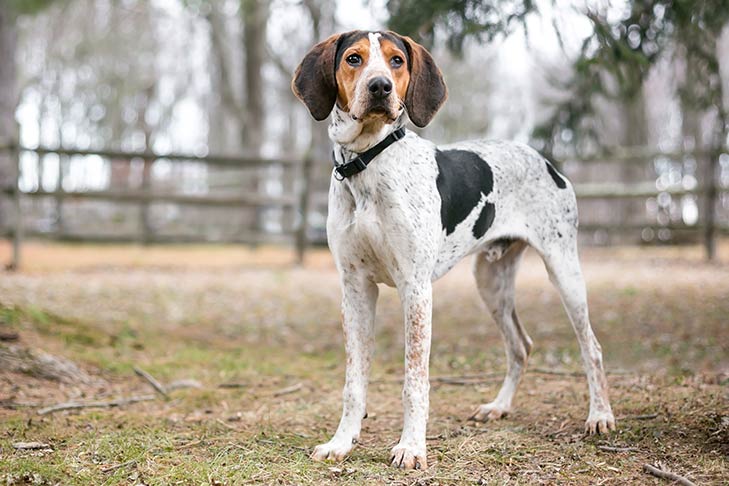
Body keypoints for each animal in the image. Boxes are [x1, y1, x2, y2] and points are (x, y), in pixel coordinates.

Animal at [290, 28, 616, 468]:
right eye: (354, 59)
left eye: (396, 61)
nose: (380, 87)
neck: (368, 163)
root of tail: (545, 160)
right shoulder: (355, 288)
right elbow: (353, 381)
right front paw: (341, 442)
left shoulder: (415, 288)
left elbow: (414, 381)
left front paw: (411, 448)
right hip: (491, 282)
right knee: (521, 346)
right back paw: (499, 406)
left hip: (564, 271)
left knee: (591, 347)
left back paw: (599, 415)